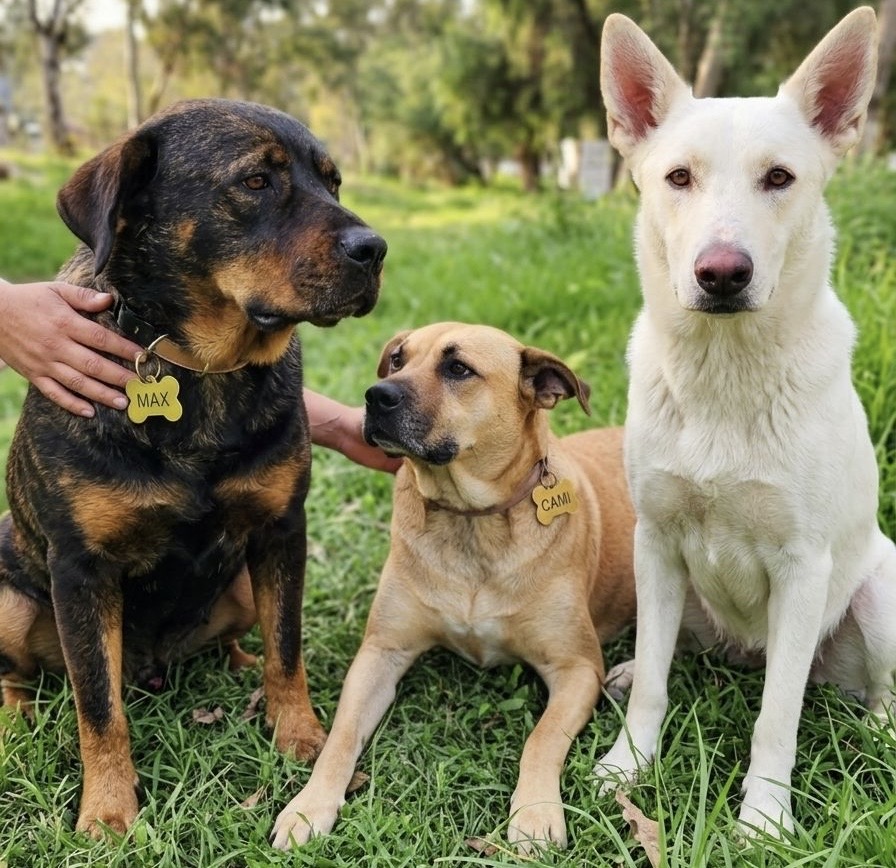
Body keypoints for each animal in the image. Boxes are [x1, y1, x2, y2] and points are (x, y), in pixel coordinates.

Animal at [0, 98, 386, 836]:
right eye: (256, 181)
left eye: (334, 182)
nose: (375, 249)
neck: (201, 371)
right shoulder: (80, 568)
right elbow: (98, 705)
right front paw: (108, 812)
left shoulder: (281, 531)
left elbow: (287, 648)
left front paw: (302, 739)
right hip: (9, 595)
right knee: (23, 674)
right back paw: (16, 718)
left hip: (238, 586)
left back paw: (237, 665)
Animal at [270, 322, 637, 853]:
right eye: (398, 359)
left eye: (458, 368)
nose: (376, 395)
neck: (470, 521)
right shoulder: (380, 652)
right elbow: (340, 737)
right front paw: (308, 806)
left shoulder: (577, 668)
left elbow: (541, 738)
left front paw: (534, 813)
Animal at [593, 7, 896, 838]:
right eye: (678, 178)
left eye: (779, 178)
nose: (722, 274)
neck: (723, 379)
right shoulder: (657, 543)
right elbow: (658, 682)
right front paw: (630, 763)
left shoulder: (803, 567)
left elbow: (777, 718)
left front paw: (764, 817)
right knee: (668, 656)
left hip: (880, 589)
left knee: (876, 693)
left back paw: (880, 734)